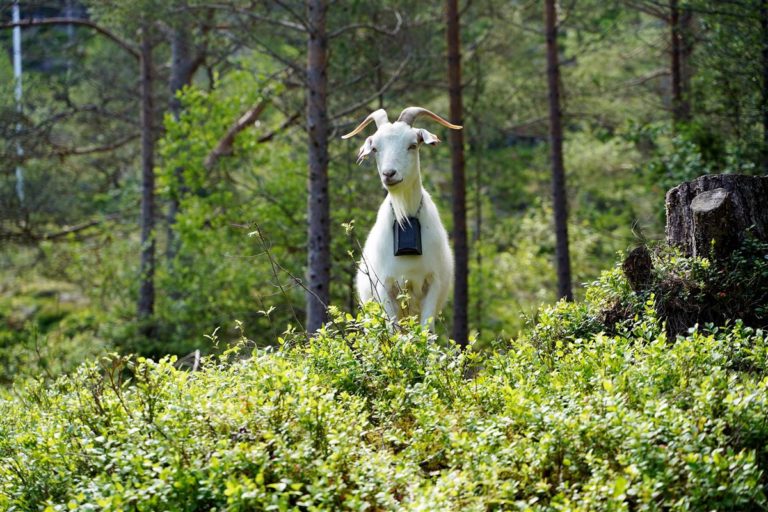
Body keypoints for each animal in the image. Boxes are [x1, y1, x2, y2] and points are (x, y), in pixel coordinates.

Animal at [344, 107, 462, 328]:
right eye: (375, 148)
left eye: (412, 145)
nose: (389, 174)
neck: (405, 217)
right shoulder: (384, 285)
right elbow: (393, 330)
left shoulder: (432, 283)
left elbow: (426, 330)